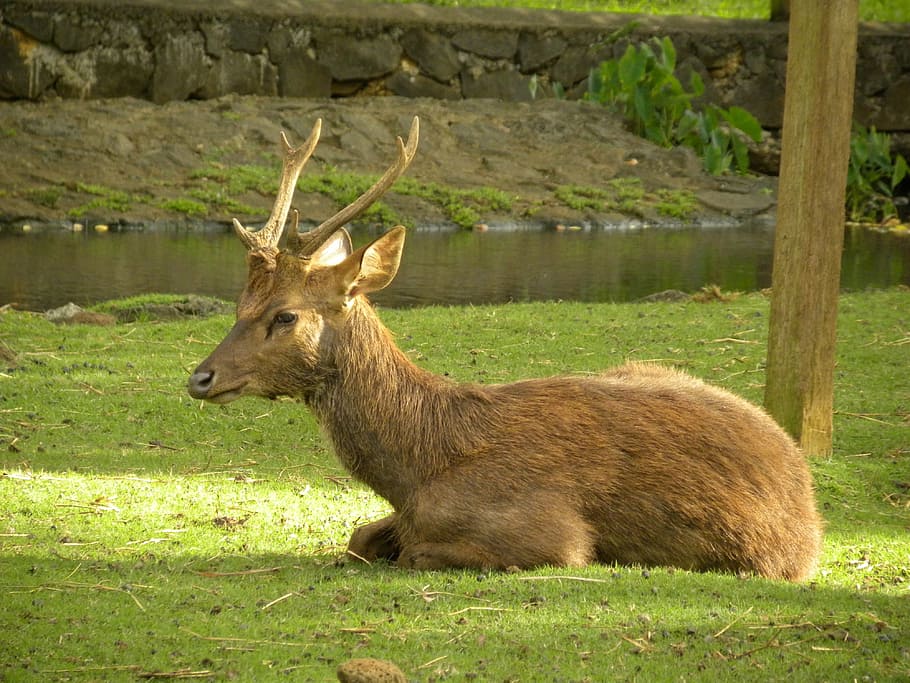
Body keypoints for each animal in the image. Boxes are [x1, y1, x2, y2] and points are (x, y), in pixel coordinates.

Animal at [187, 116, 823, 581]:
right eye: (238, 303)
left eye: (285, 314)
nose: (200, 377)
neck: (419, 468)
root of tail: (806, 491)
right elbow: (359, 538)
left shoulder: (552, 534)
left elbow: (416, 553)